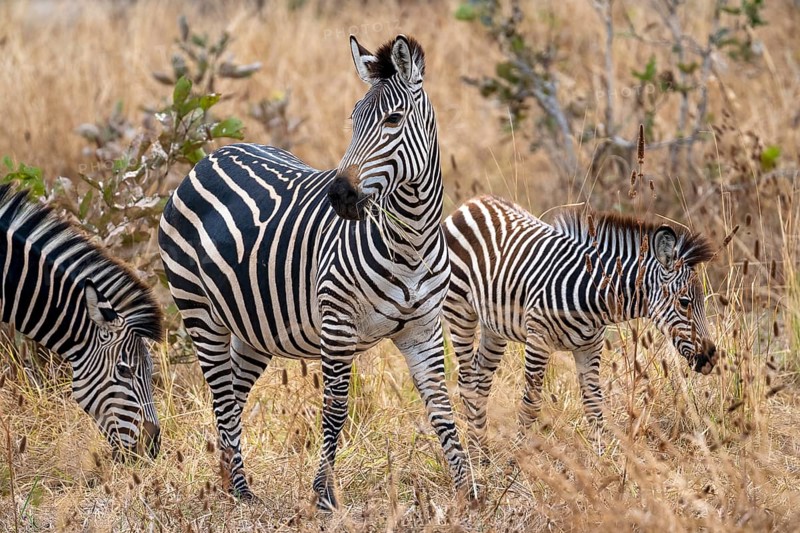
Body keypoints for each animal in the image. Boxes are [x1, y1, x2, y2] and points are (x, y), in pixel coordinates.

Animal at [158, 34, 469, 508]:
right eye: (353, 120)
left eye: (393, 119)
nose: (339, 195)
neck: (410, 242)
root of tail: (208, 158)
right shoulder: (337, 324)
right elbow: (336, 409)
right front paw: (324, 494)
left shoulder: (424, 329)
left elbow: (442, 408)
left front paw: (471, 490)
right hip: (198, 311)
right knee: (221, 397)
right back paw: (242, 492)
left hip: (253, 326)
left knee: (233, 393)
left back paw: (230, 481)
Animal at [443, 195, 717, 455]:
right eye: (684, 302)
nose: (711, 357)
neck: (594, 296)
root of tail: (474, 202)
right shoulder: (538, 340)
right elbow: (531, 404)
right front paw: (517, 457)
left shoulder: (589, 347)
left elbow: (594, 406)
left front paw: (603, 461)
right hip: (459, 311)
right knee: (467, 380)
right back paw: (475, 453)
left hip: (494, 326)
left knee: (481, 379)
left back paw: (482, 449)